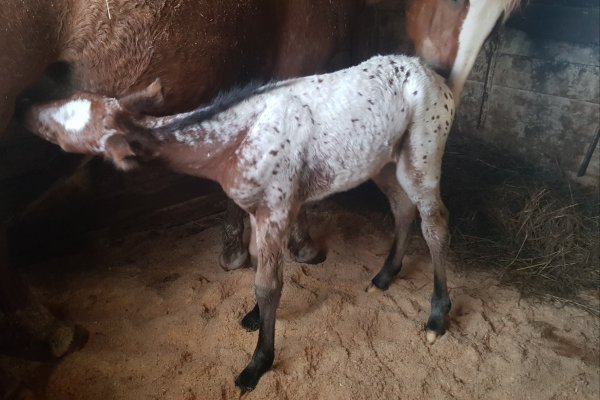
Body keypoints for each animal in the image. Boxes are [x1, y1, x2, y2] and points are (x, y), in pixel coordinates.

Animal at [23, 54, 454, 392]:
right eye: (69, 99)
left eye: (62, 131)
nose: (28, 111)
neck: (230, 145)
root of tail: (436, 77)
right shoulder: (255, 209)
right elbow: (257, 264)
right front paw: (252, 317)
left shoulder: (277, 210)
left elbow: (269, 285)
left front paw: (257, 364)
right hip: (383, 160)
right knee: (401, 208)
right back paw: (384, 276)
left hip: (423, 152)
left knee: (434, 221)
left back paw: (437, 315)